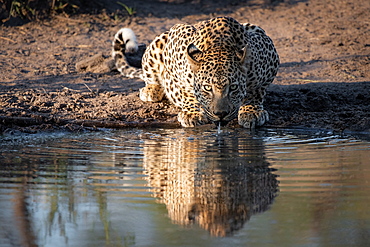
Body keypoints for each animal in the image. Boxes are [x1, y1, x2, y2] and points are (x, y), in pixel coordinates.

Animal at [111, 16, 278, 128]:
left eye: (233, 87)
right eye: (207, 88)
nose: (220, 114)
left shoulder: (269, 56)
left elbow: (256, 91)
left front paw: (251, 111)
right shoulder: (175, 39)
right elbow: (185, 91)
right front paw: (192, 113)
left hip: (255, 27)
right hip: (158, 43)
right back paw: (152, 90)